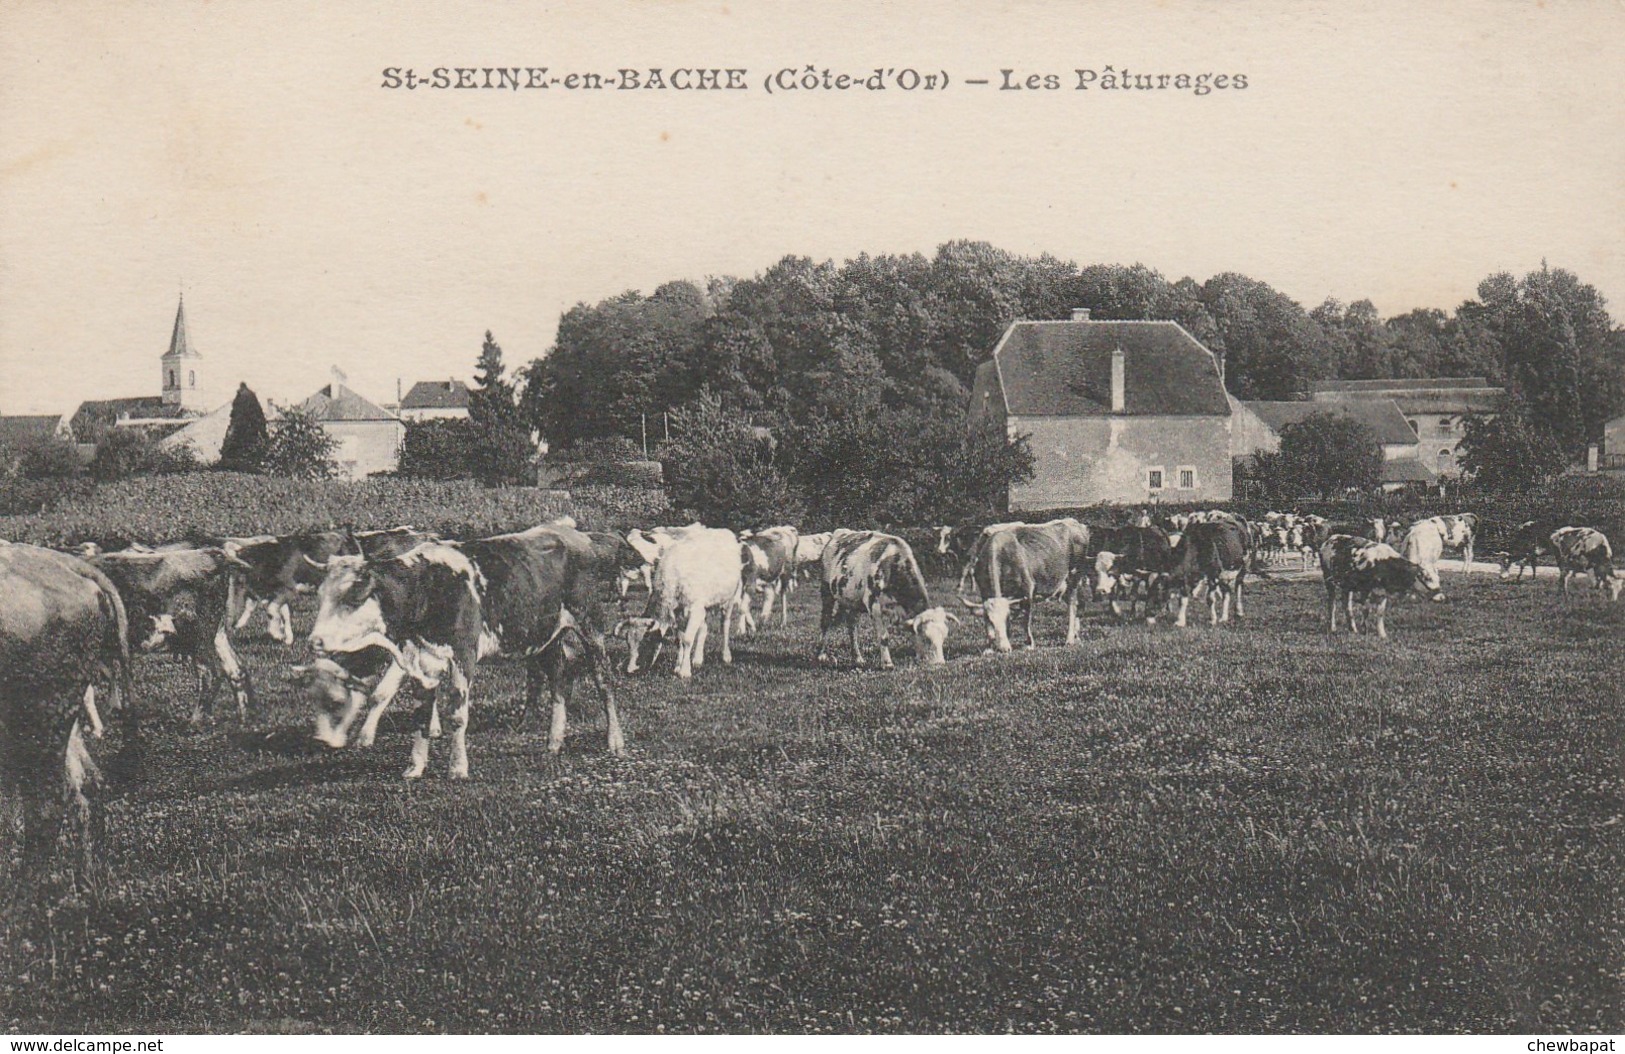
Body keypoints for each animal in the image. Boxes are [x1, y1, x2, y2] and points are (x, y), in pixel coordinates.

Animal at [307, 522, 624, 776]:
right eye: (320, 595)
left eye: (353, 596)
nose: (314, 640)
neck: (428, 588)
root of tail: (570, 532)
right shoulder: (422, 658)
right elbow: (421, 714)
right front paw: (415, 767)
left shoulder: (464, 655)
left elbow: (458, 715)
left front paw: (458, 767)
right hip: (545, 636)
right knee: (559, 679)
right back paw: (554, 740)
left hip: (590, 623)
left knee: (604, 680)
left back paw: (615, 740)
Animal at [819, 529, 955, 669]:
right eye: (926, 638)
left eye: (944, 637)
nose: (940, 663)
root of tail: (838, 533)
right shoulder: (873, 604)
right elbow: (883, 636)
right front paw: (887, 663)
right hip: (826, 591)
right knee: (826, 621)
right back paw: (821, 656)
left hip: (852, 601)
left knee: (852, 627)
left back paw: (857, 658)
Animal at [955, 516, 1085, 649]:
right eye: (992, 621)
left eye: (1007, 619)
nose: (1004, 649)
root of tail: (1073, 521)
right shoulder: (984, 591)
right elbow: (987, 624)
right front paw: (990, 646)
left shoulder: (1027, 588)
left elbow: (1025, 620)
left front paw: (1029, 644)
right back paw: (1076, 637)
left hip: (1074, 576)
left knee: (1072, 606)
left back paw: (1069, 639)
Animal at [1319, 529, 1449, 636]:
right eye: (1427, 578)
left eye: (1438, 579)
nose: (1441, 597)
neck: (1382, 563)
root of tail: (1331, 538)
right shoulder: (1366, 590)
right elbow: (1366, 610)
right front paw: (1364, 630)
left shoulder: (1382, 592)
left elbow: (1380, 613)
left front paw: (1382, 634)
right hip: (1328, 579)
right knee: (1332, 604)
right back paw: (1333, 627)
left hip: (1347, 585)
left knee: (1346, 604)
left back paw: (1352, 628)